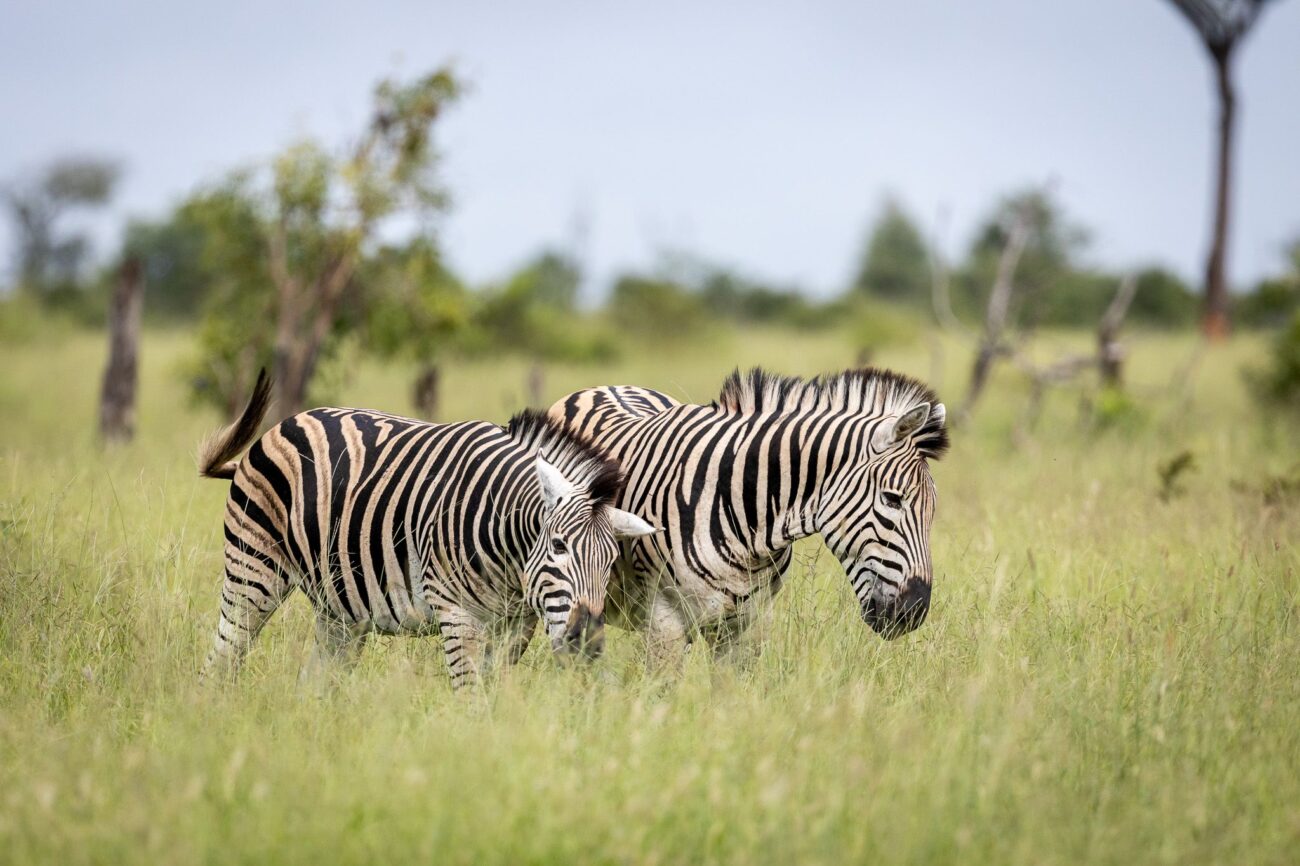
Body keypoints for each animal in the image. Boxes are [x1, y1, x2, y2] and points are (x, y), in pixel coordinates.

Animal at [200, 371, 660, 686]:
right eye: (559, 547)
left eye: (611, 562)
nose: (587, 642)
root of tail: (288, 422)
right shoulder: (456, 614)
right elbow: (471, 695)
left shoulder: (516, 624)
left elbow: (491, 693)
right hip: (253, 568)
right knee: (223, 655)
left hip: (339, 608)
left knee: (315, 682)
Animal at [543, 366, 951, 663]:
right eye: (892, 499)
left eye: (932, 512)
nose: (914, 612)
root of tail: (605, 386)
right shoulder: (664, 619)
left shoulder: (746, 624)